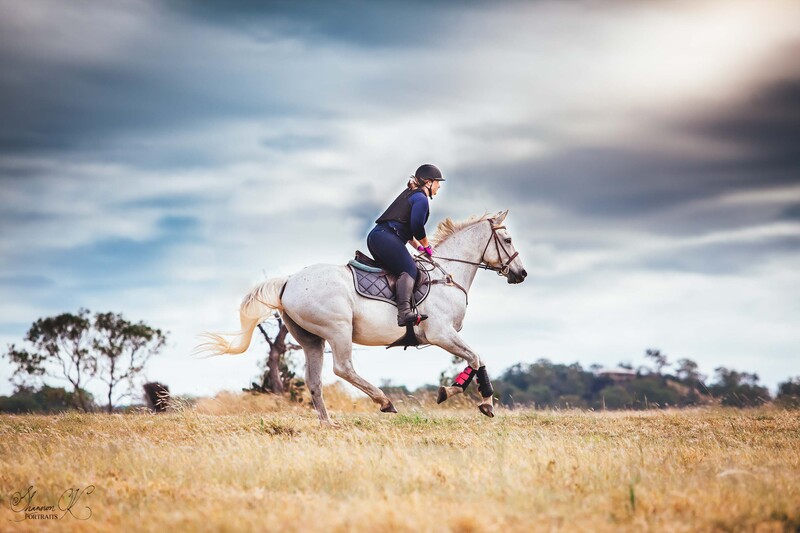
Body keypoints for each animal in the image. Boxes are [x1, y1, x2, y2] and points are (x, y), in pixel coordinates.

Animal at [198, 210, 524, 422]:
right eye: (507, 240)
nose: (521, 274)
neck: (448, 275)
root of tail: (289, 280)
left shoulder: (447, 336)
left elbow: (475, 359)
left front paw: (458, 393)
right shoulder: (441, 334)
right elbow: (476, 358)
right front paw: (478, 399)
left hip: (311, 340)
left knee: (314, 380)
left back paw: (328, 423)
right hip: (339, 330)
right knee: (343, 368)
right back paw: (384, 401)